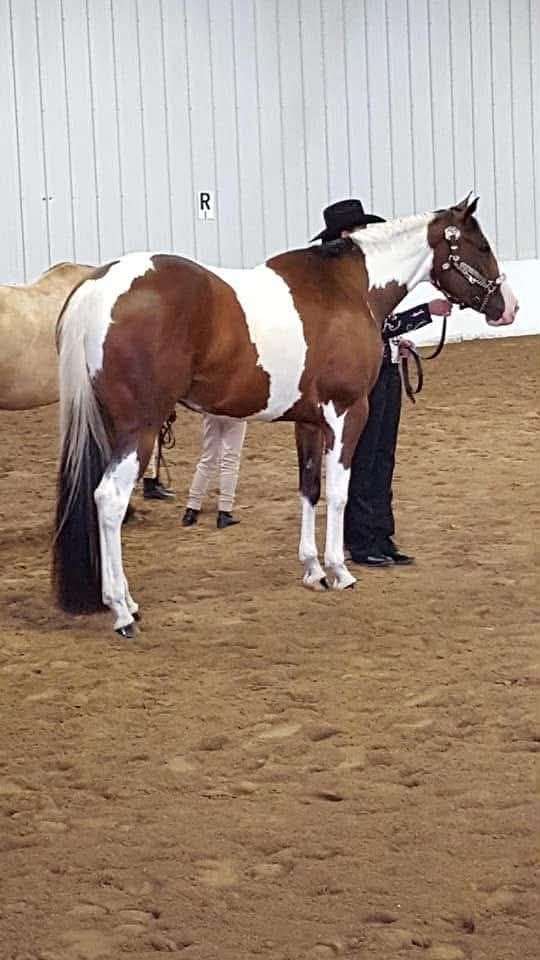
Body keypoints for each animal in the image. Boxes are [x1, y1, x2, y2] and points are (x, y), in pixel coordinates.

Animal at [52, 197, 518, 637]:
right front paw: (340, 571)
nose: (508, 307)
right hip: (141, 427)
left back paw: (126, 603)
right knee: (109, 500)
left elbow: (309, 489)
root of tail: (97, 287)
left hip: (111, 426)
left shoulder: (308, 422)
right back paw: (121, 610)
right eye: (481, 246)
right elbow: (339, 493)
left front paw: (313, 570)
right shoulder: (348, 412)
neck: (349, 289)